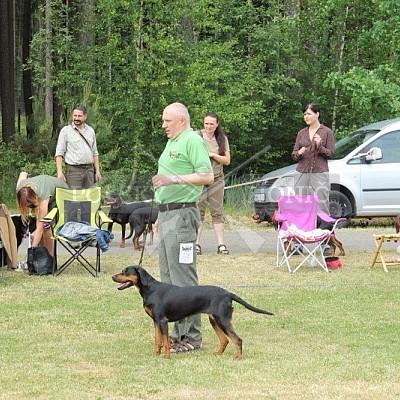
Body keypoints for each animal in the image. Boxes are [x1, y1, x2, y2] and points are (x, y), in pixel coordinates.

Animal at [112, 266, 276, 360]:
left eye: (125, 272)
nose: (112, 277)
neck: (150, 289)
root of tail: (228, 293)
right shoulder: (156, 322)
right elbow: (158, 341)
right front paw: (155, 355)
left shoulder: (162, 321)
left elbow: (165, 342)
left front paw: (166, 357)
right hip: (214, 320)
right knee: (225, 340)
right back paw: (218, 354)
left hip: (222, 320)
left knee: (237, 339)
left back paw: (238, 358)